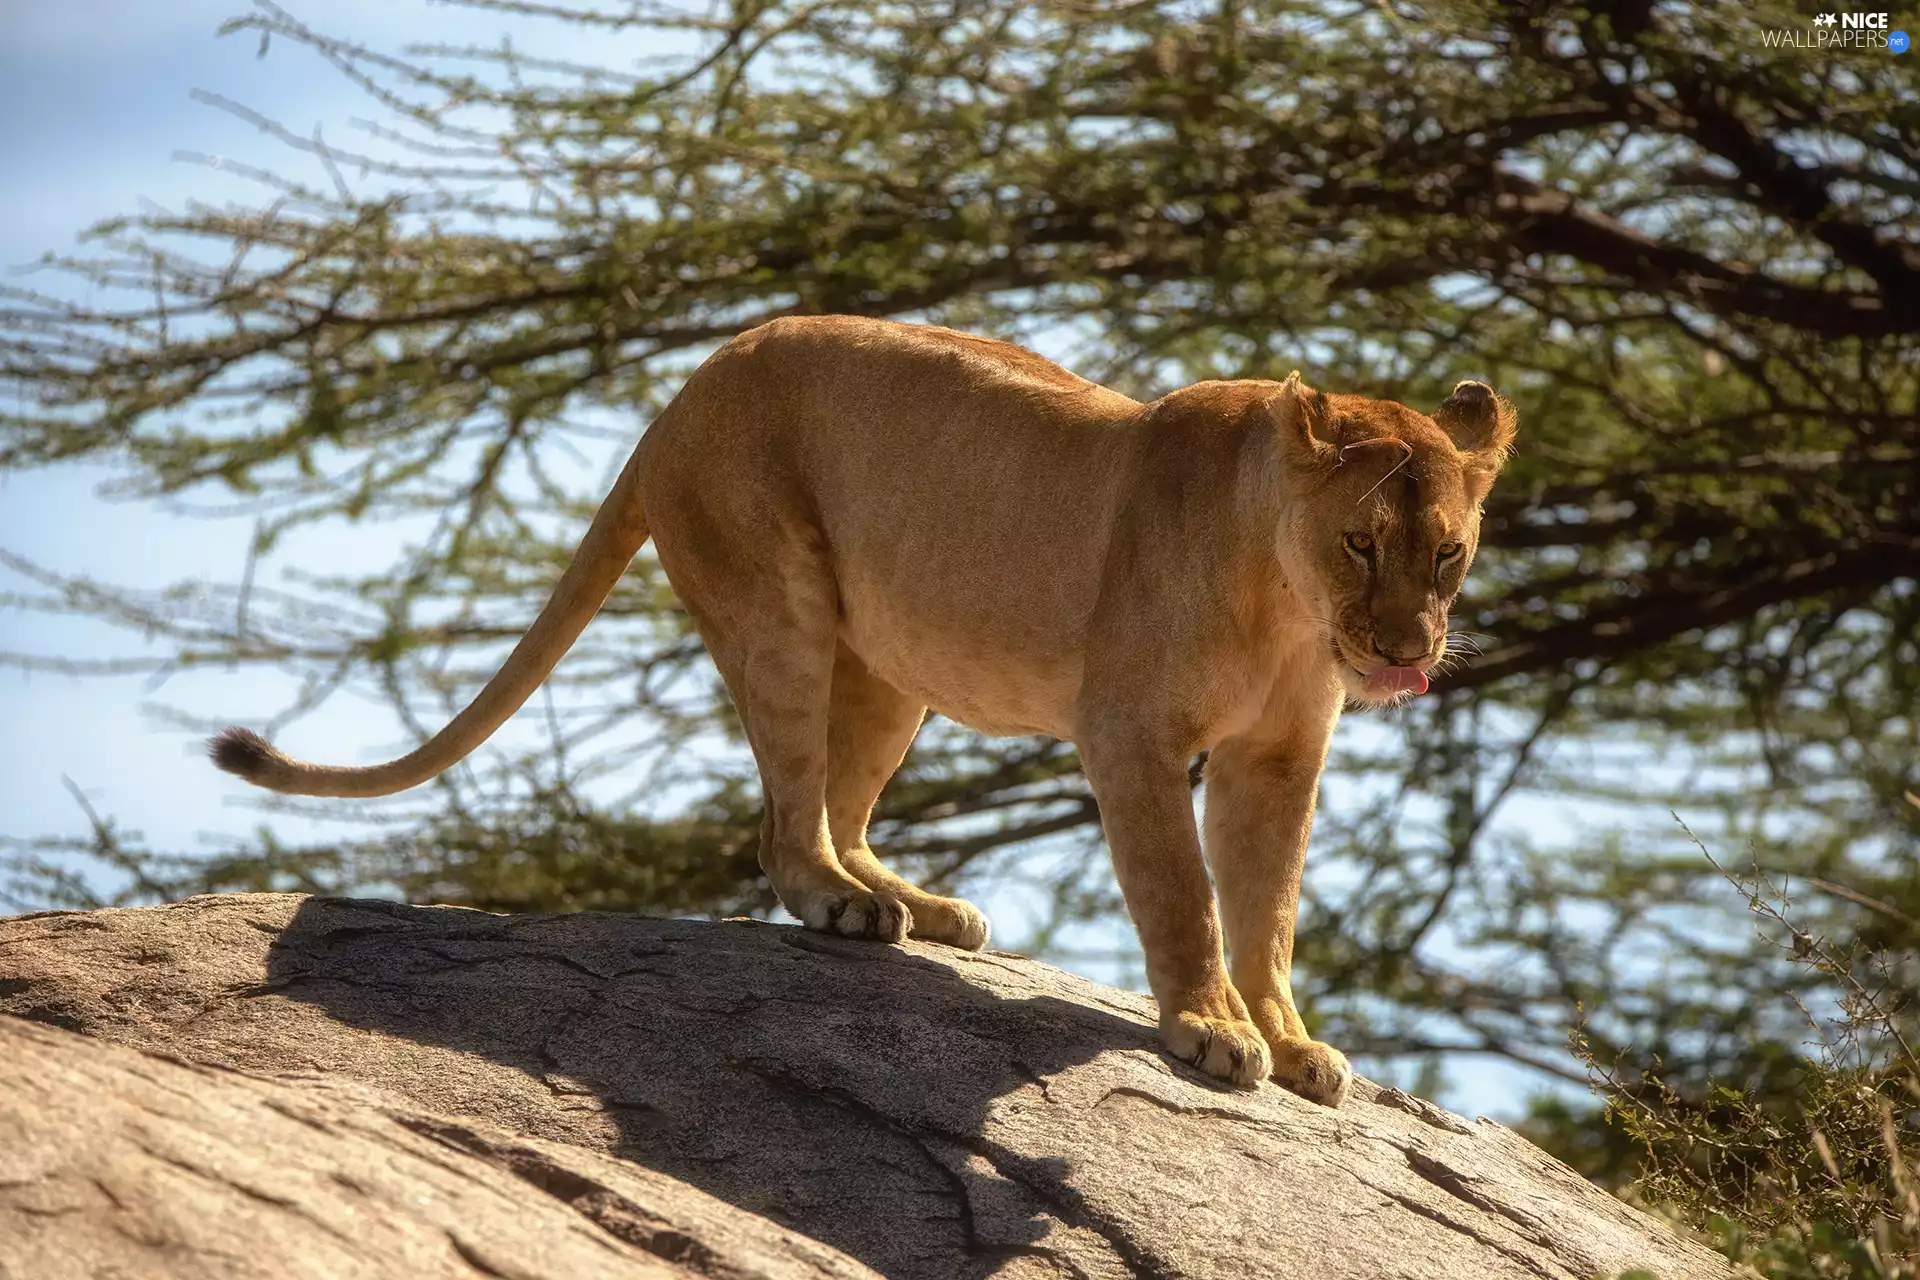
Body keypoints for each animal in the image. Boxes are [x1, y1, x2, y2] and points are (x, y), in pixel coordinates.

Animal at [209, 315, 1516, 1108]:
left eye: (1447, 554)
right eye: (1361, 542)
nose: (1406, 653)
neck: (1287, 603)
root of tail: (676, 396)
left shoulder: (1278, 760)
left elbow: (1268, 911)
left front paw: (1292, 1039)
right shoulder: (1131, 735)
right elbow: (1184, 899)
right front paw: (1211, 1028)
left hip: (890, 670)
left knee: (837, 804)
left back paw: (915, 906)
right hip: (774, 594)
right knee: (784, 825)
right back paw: (845, 906)